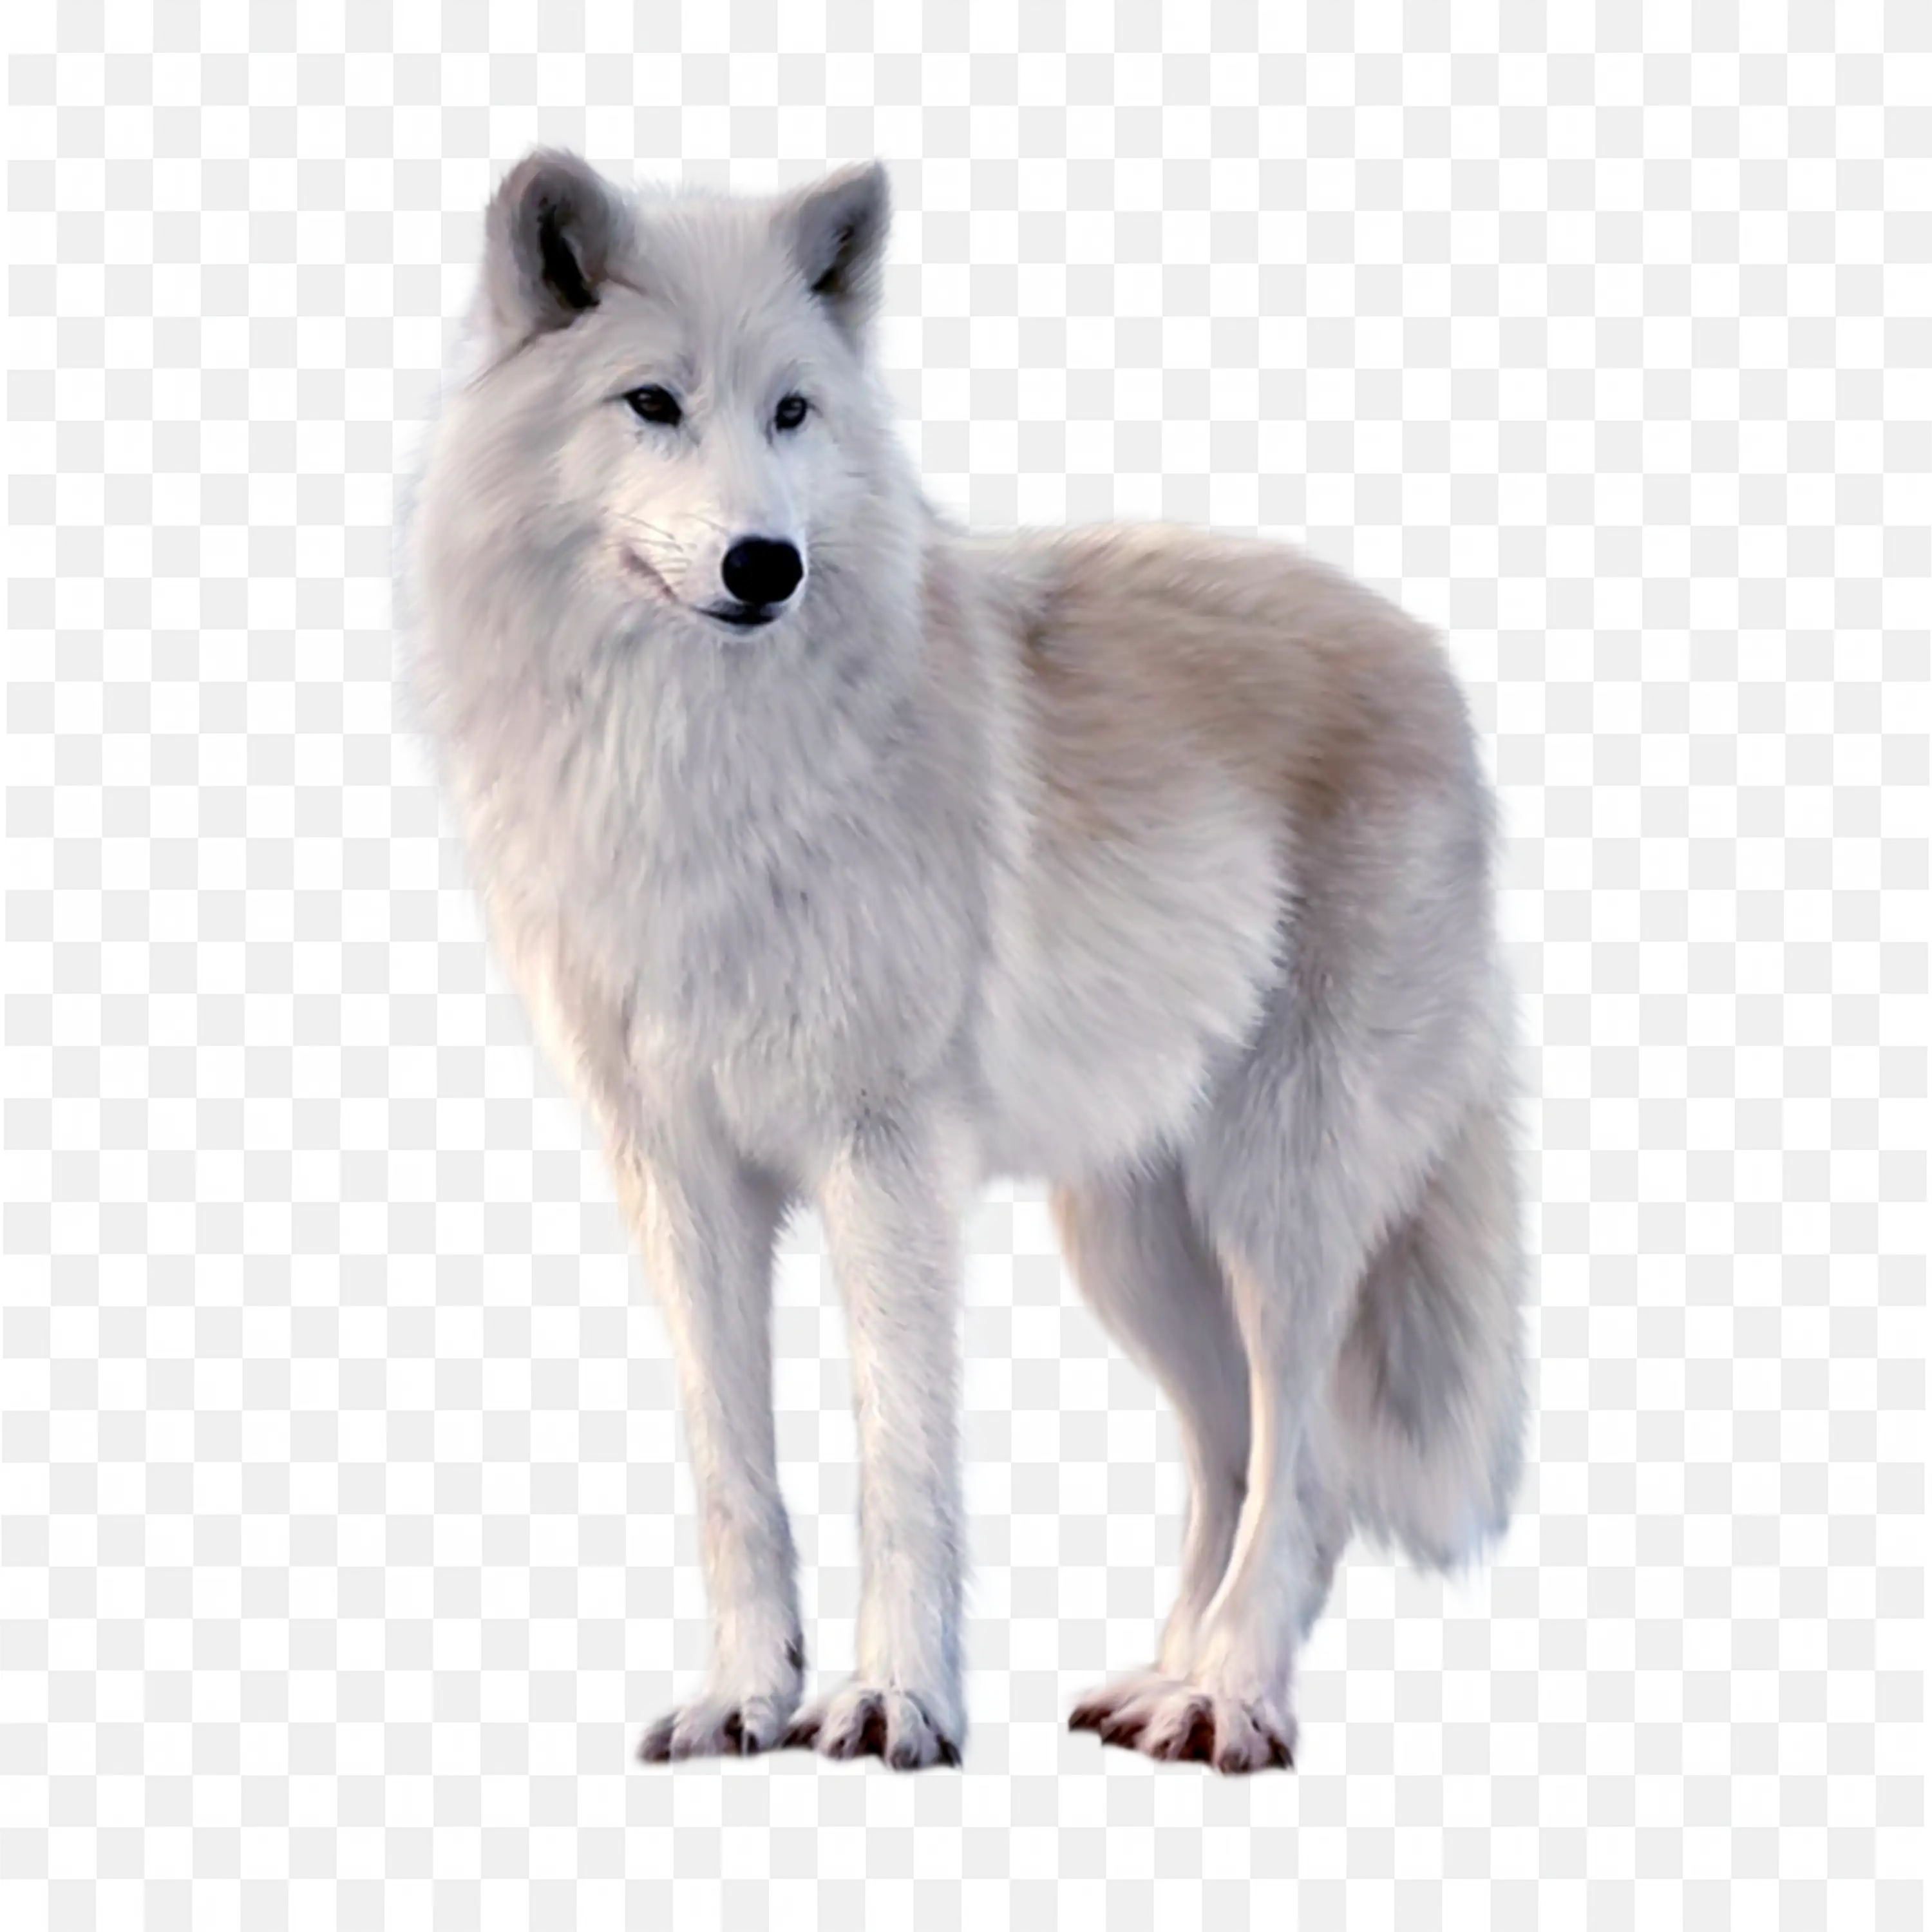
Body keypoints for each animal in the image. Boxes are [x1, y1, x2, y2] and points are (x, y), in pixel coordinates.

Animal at [394, 145, 1534, 1778]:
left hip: (1285, 1199)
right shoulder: (676, 1169)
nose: (766, 563)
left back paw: (1228, 1698)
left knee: (1302, 1474)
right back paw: (1156, 1684)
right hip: (1132, 1239)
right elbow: (735, 1472)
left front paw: (895, 1703)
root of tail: (1430, 651)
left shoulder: (886, 1152)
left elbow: (903, 1460)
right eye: (651, 402)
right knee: (1228, 1453)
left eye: (793, 411)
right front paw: (743, 1695)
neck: (693, 763)